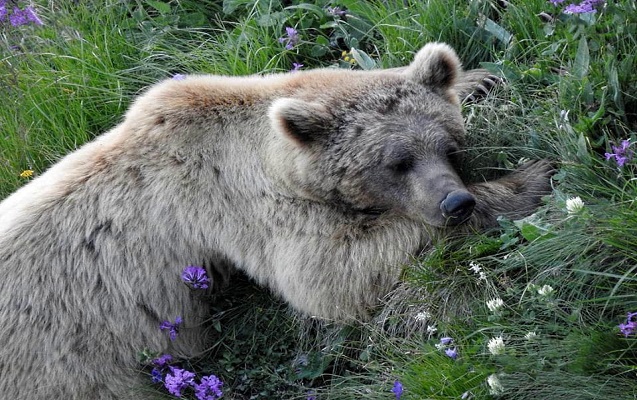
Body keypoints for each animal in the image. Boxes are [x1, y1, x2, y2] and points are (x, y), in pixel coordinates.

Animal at [0, 42, 552, 398]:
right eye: (397, 162)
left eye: (449, 146)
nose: (455, 202)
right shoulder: (229, 208)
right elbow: (328, 274)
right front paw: (529, 180)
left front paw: (480, 78)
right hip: (74, 371)